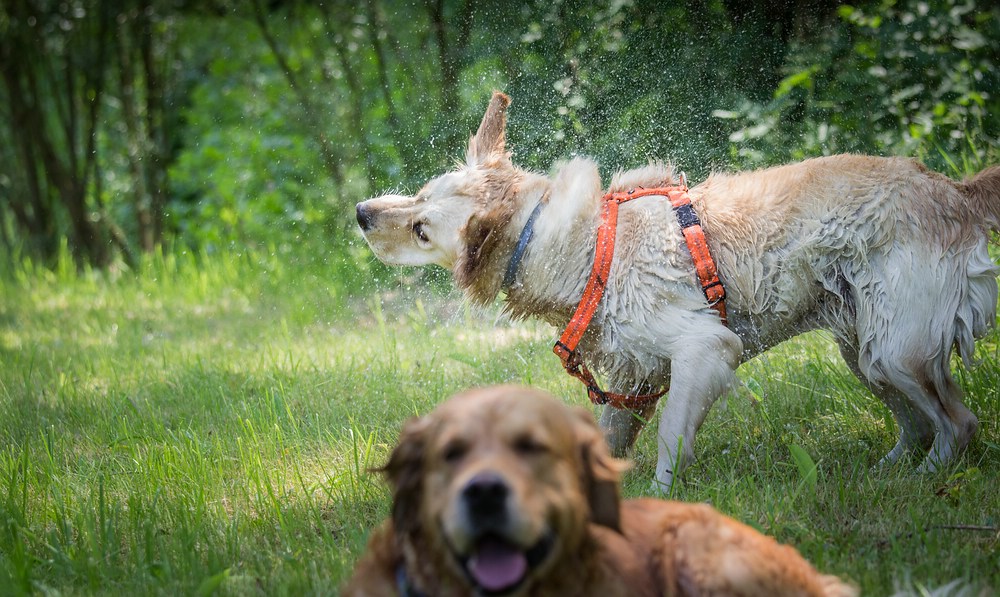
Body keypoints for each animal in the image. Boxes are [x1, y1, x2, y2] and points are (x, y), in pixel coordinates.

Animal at [360, 89, 1000, 488]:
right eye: (419, 192)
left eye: (421, 229)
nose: (363, 213)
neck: (587, 253)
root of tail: (955, 190)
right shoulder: (634, 374)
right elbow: (607, 438)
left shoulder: (705, 348)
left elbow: (671, 434)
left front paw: (664, 498)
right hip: (863, 348)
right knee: (918, 424)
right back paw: (885, 472)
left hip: (897, 350)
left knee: (957, 424)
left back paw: (922, 482)